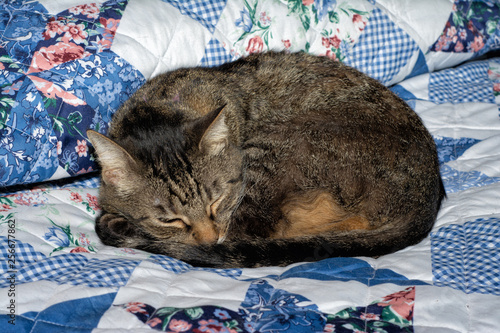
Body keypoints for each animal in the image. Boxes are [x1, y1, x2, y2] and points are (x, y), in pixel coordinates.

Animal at [87, 51, 446, 268]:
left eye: (217, 202)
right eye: (169, 219)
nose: (210, 240)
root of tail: (425, 197)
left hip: (276, 149)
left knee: (252, 233)